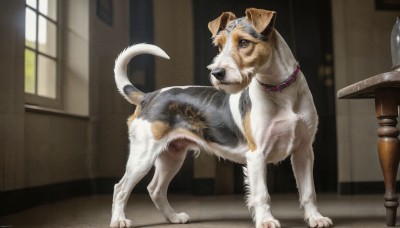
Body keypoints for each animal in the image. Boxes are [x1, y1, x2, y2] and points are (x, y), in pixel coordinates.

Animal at [111, 7, 332, 228]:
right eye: (219, 45)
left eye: (243, 42)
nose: (216, 72)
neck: (279, 90)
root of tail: (149, 96)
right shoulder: (257, 155)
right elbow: (261, 194)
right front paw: (266, 221)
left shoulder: (303, 151)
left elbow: (308, 192)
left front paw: (316, 218)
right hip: (143, 156)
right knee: (120, 188)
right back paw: (119, 219)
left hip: (172, 156)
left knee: (155, 189)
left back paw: (174, 217)